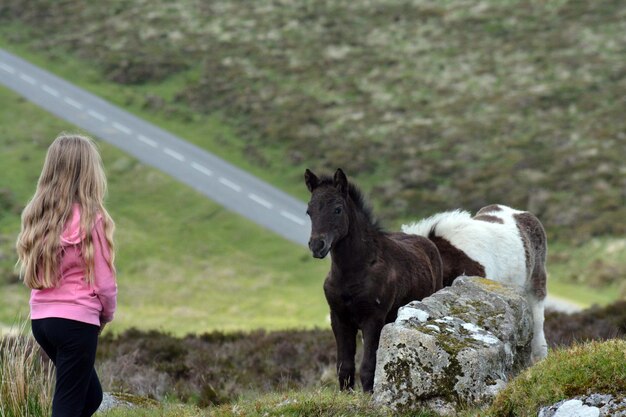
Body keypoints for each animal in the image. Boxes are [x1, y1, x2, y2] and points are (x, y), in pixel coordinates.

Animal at [304, 168, 442, 390]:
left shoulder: (373, 319)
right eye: (309, 211)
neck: (353, 272)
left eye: (337, 209)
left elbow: (368, 367)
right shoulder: (339, 319)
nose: (317, 246)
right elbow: (344, 368)